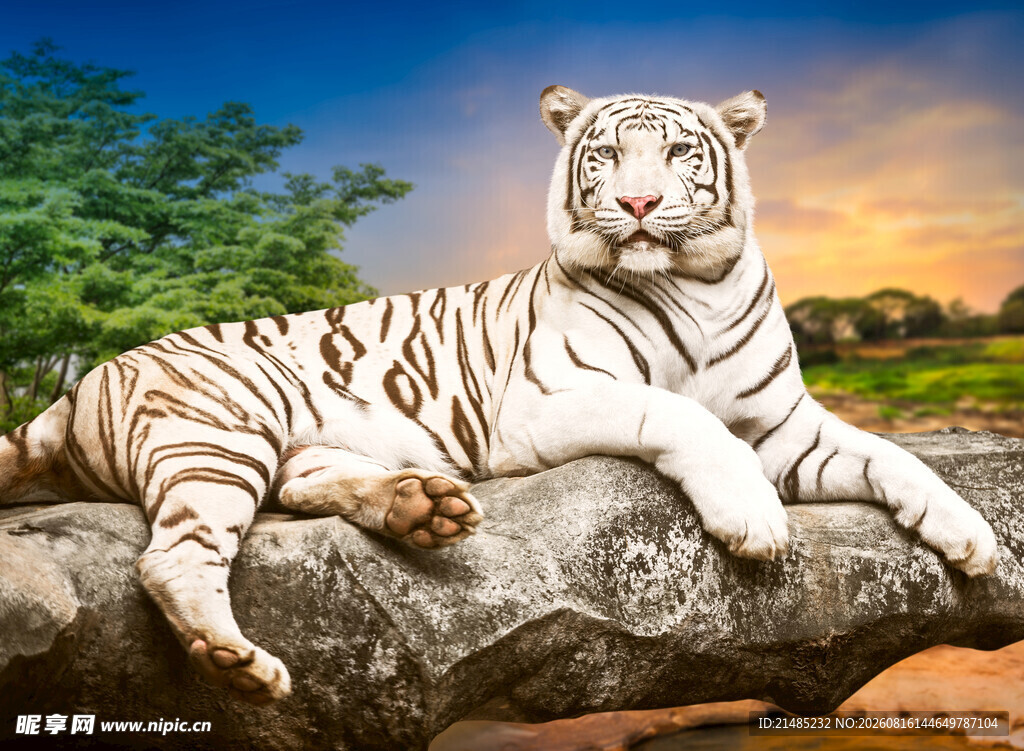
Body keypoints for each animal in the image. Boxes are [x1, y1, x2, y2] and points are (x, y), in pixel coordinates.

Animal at [0, 85, 998, 706]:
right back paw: (240, 662)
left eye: (678, 151)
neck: (698, 281)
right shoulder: (553, 397)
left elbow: (894, 457)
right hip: (222, 427)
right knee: (172, 558)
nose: (639, 205)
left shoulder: (786, 425)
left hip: (283, 443)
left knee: (301, 483)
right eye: (607, 156)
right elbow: (679, 412)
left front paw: (975, 540)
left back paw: (422, 507)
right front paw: (753, 520)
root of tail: (87, 377)